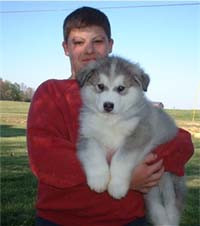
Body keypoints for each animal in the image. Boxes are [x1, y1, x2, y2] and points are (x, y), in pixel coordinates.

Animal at [76, 55, 185, 226]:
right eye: (100, 86)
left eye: (121, 88)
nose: (108, 105)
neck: (111, 121)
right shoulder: (87, 135)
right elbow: (93, 154)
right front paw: (98, 180)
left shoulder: (140, 133)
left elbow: (121, 159)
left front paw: (117, 186)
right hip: (152, 188)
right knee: (156, 203)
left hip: (168, 177)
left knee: (170, 201)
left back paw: (170, 218)